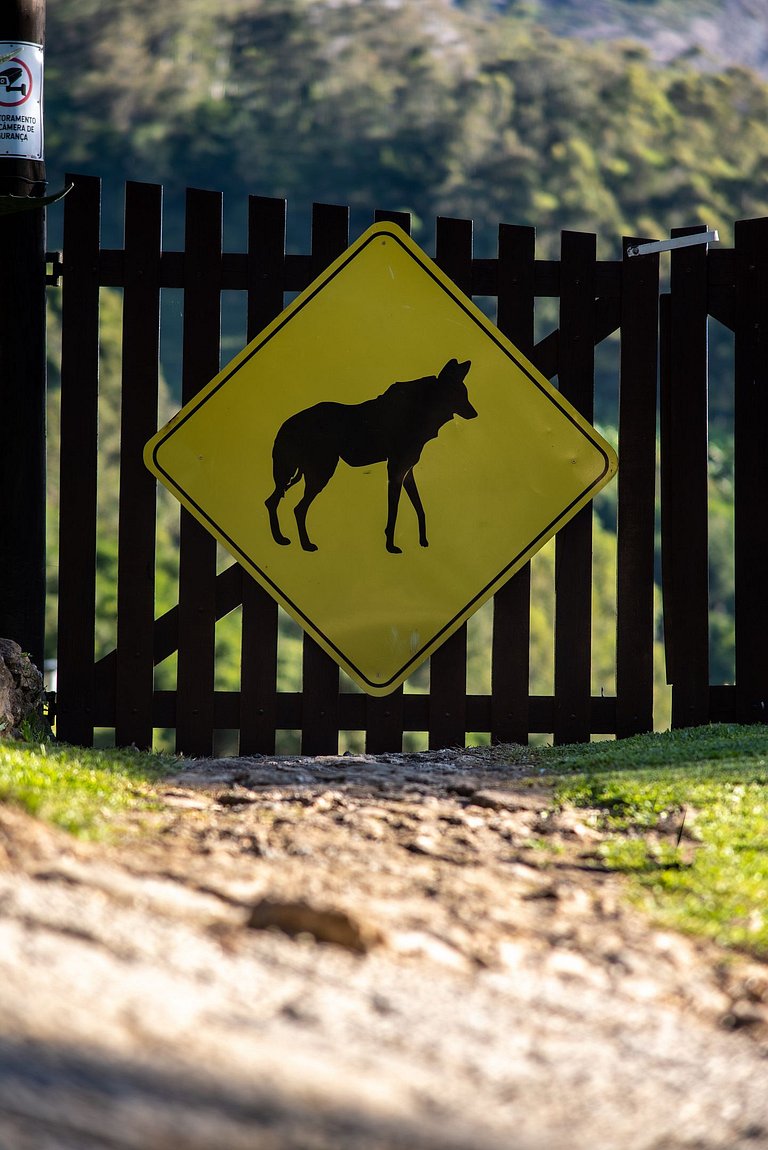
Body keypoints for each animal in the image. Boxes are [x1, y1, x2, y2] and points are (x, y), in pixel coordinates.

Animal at [265, 358, 476, 553]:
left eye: (465, 394)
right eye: (459, 394)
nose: (475, 414)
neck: (422, 410)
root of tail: (286, 425)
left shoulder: (407, 470)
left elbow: (420, 509)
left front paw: (423, 541)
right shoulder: (395, 469)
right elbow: (394, 512)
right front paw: (391, 546)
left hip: (301, 473)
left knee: (273, 502)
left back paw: (280, 539)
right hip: (320, 472)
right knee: (296, 508)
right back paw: (304, 544)